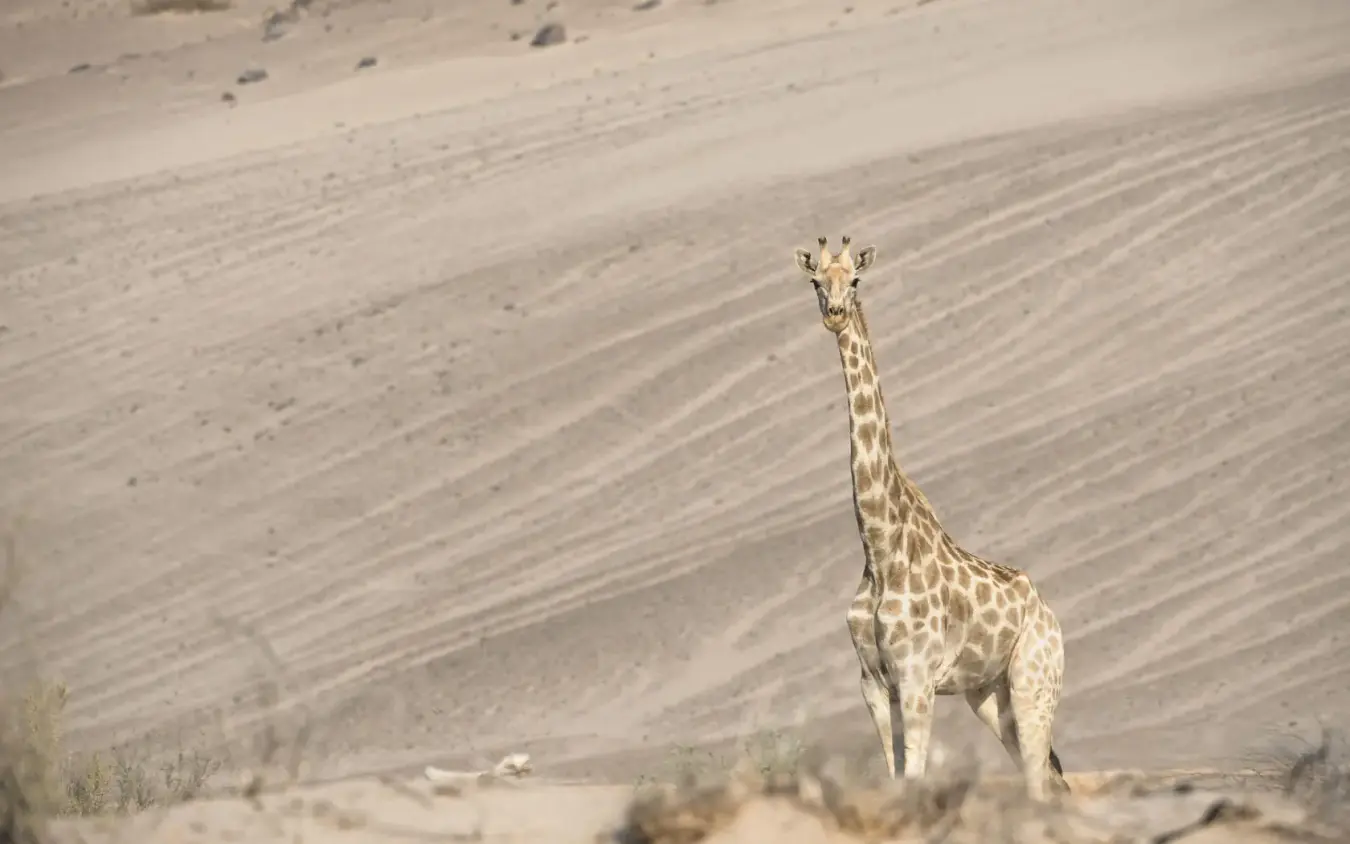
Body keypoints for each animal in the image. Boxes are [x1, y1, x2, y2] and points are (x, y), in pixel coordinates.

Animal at [792, 235, 1070, 801]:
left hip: (1034, 683)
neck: (879, 548)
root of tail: (1052, 619)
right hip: (988, 696)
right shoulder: (874, 683)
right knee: (1047, 776)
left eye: (856, 279)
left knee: (1042, 782)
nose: (835, 315)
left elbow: (915, 776)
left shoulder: (917, 679)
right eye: (815, 281)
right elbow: (895, 776)